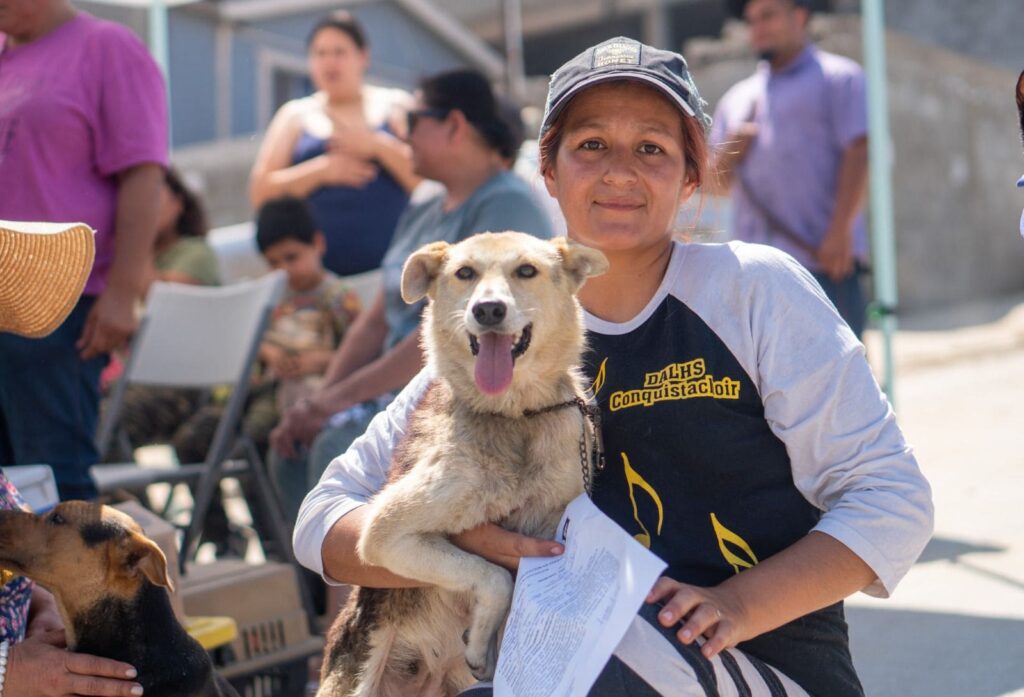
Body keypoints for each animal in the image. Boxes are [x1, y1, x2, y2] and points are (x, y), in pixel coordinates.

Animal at [319, 231, 606, 691]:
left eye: (526, 270)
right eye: (465, 273)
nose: (488, 309)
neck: (515, 416)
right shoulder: (384, 534)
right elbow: (493, 576)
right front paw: (479, 643)